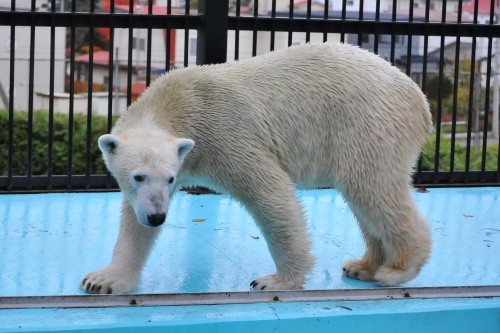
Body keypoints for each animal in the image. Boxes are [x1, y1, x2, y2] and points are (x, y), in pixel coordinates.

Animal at [80, 41, 432, 294]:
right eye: (139, 177)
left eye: (168, 178)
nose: (157, 217)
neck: (177, 103)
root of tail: (419, 96)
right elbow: (133, 224)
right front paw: (104, 279)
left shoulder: (225, 135)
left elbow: (271, 194)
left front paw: (276, 281)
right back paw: (363, 266)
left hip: (369, 123)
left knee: (373, 190)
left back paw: (398, 269)